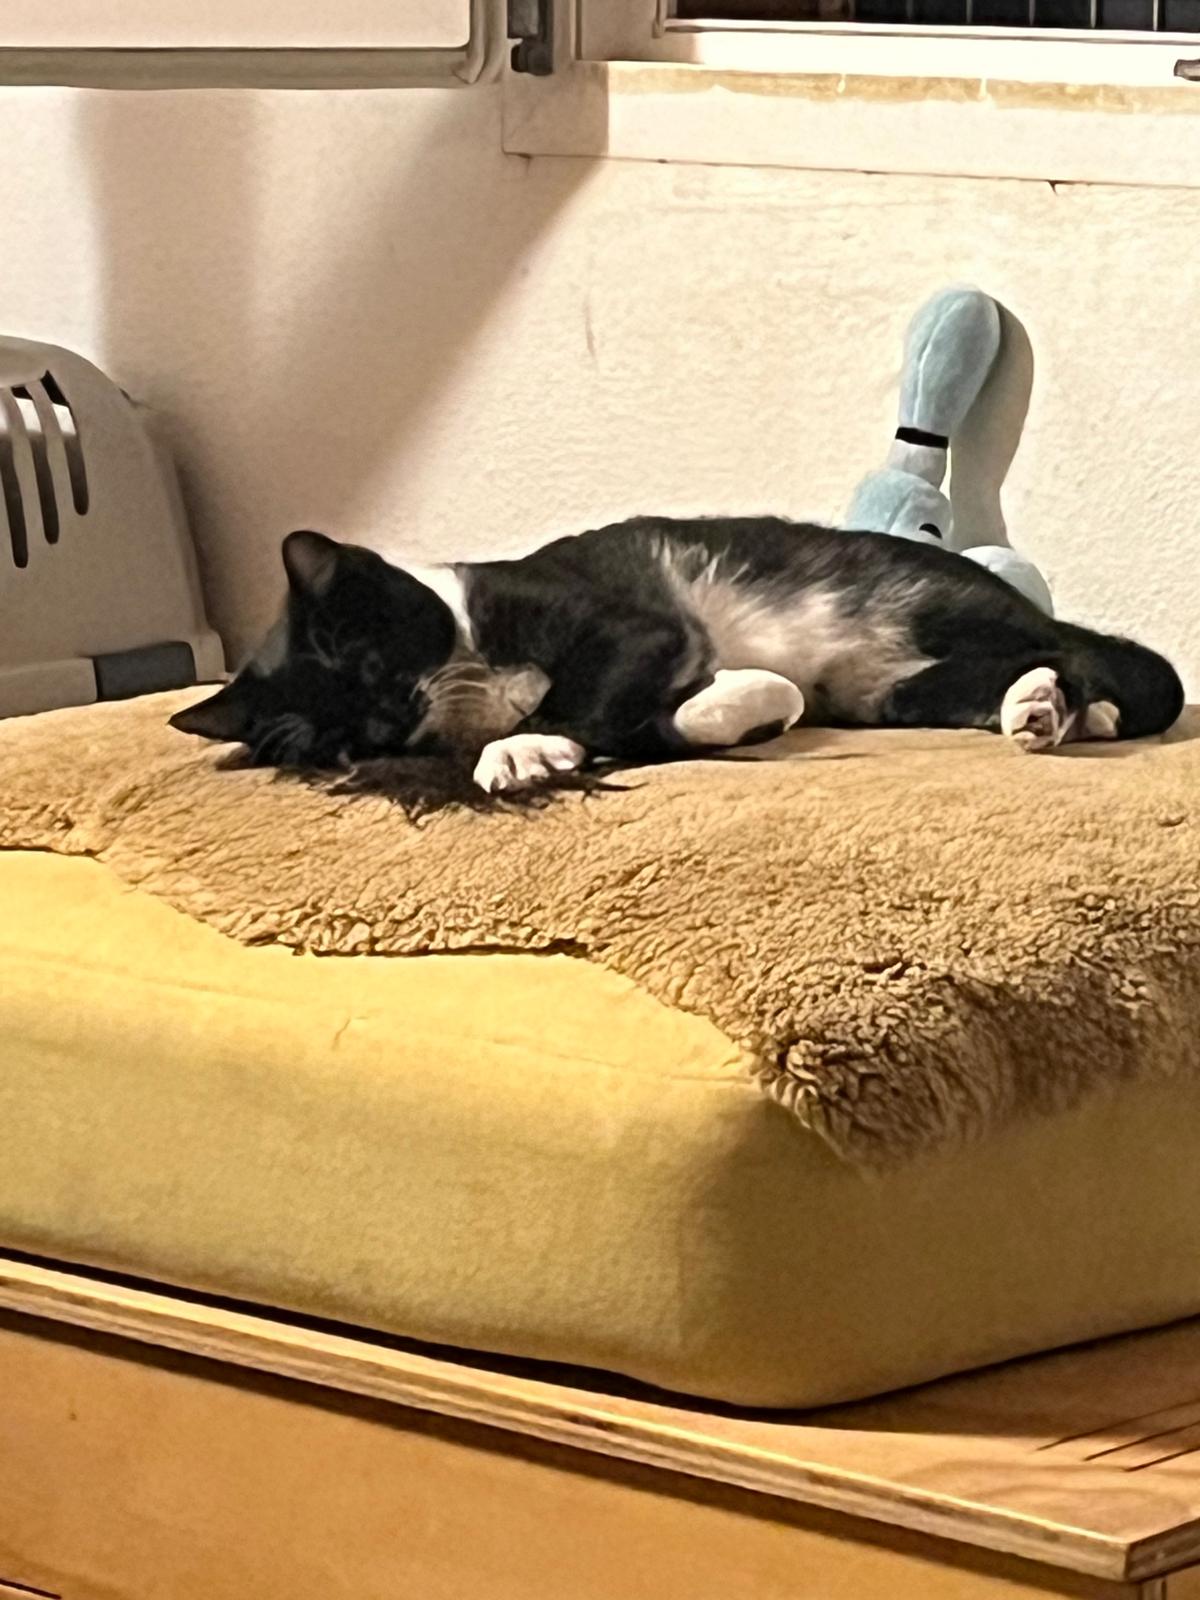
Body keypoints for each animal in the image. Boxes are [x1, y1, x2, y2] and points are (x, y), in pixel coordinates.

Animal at [170, 517, 1184, 794]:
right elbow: (664, 724)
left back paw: (1065, 706)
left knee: (1088, 654)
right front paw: (750, 703)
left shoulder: (630, 626)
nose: (384, 718)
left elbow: (587, 700)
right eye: (336, 735)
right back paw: (1040, 707)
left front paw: (521, 750)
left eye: (364, 652)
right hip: (893, 690)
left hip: (940, 619)